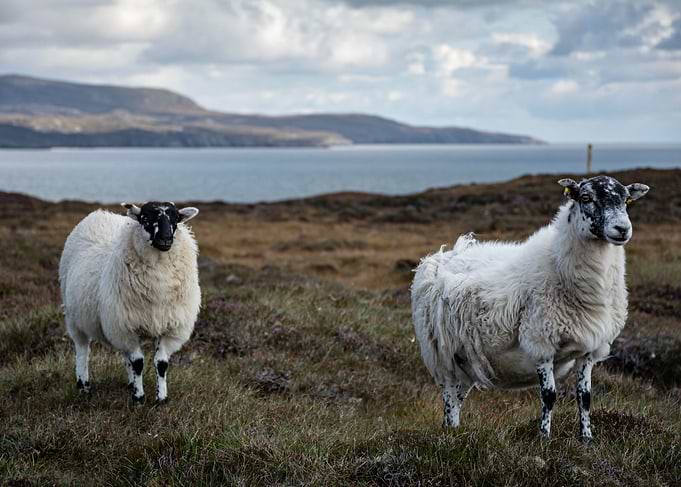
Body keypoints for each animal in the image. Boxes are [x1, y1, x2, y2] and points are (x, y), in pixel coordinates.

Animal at [59, 202, 201, 403]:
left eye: (176, 219)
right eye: (145, 218)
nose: (166, 239)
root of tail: (99, 214)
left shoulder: (169, 327)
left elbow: (161, 363)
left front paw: (161, 399)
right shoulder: (127, 327)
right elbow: (138, 363)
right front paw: (139, 398)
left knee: (125, 355)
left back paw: (130, 384)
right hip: (75, 317)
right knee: (82, 350)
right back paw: (83, 385)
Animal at [411, 175, 649, 440]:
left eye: (627, 200)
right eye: (586, 198)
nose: (622, 229)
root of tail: (442, 256)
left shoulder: (590, 348)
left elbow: (585, 397)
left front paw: (586, 438)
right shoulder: (541, 341)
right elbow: (549, 395)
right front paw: (544, 437)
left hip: (467, 359)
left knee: (458, 396)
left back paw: (452, 430)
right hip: (442, 352)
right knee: (449, 396)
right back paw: (451, 433)